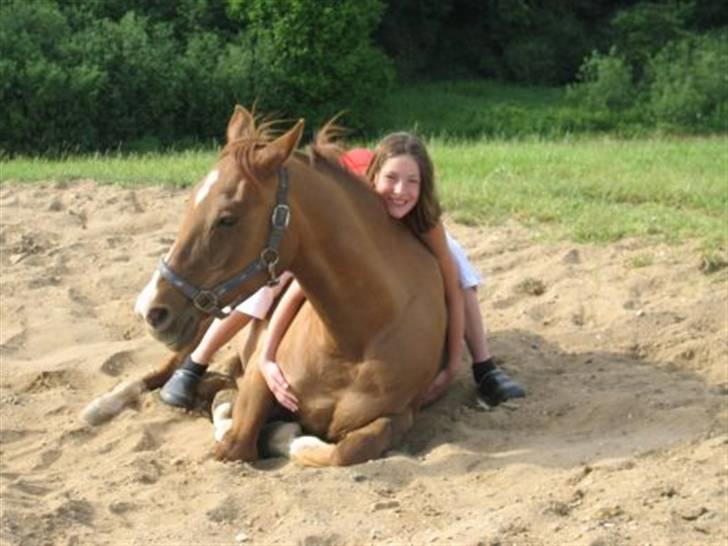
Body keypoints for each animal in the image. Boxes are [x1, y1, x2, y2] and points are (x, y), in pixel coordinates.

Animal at [83, 105, 446, 464]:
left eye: (227, 218)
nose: (150, 309)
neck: (355, 342)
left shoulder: (399, 415)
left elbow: (346, 450)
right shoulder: (261, 375)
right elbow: (235, 441)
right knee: (168, 369)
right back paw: (102, 406)